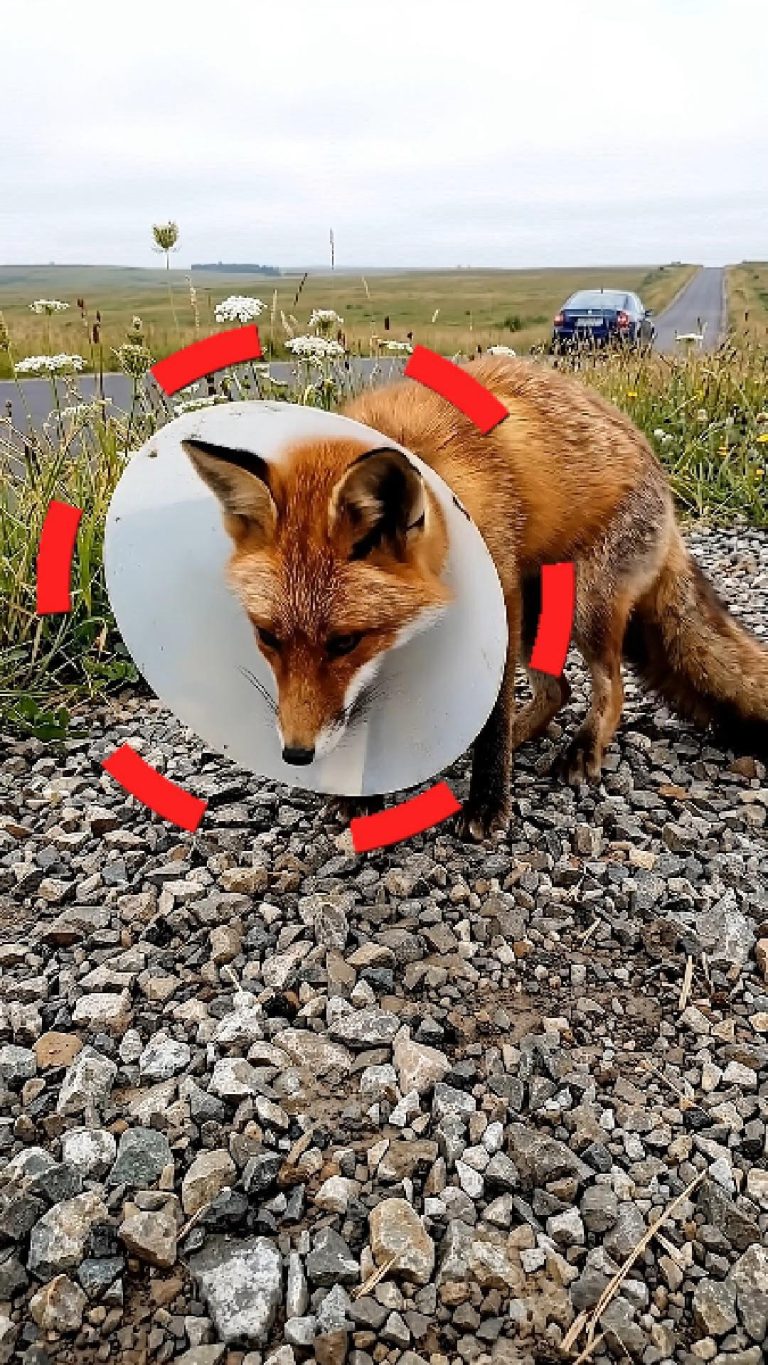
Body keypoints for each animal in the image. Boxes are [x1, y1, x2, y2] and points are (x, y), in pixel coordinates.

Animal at [182, 355, 768, 840]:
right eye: (267, 636)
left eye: (343, 642)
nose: (297, 754)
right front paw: (364, 794)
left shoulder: (496, 608)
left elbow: (491, 726)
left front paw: (488, 804)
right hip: (540, 621)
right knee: (558, 690)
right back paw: (528, 733)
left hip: (583, 608)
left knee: (608, 688)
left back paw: (580, 750)